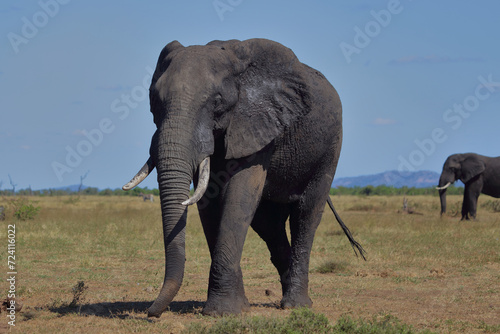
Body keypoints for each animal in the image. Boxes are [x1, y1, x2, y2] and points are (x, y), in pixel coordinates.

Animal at [121, 37, 364, 318]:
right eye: (154, 100)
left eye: (217, 102)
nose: (151, 312)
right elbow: (210, 201)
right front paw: (237, 308)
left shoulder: (256, 123)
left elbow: (239, 195)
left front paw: (223, 311)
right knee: (269, 225)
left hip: (330, 147)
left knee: (306, 214)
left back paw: (296, 305)